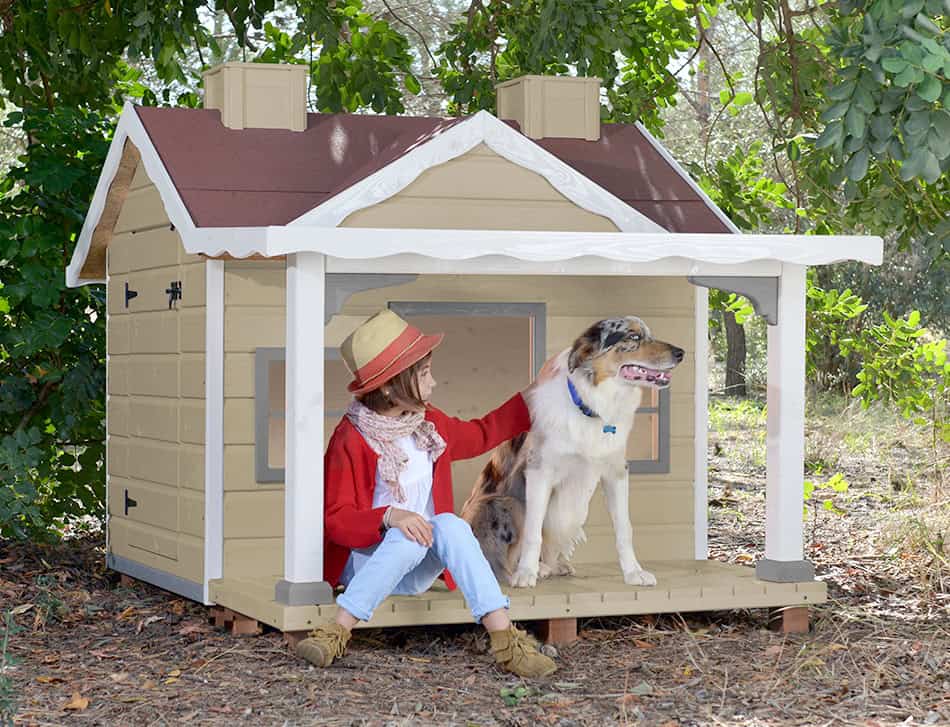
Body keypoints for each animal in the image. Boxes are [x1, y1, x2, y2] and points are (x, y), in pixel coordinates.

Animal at [462, 316, 684, 588]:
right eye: (633, 337)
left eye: (648, 334)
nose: (681, 353)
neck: (592, 406)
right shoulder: (539, 471)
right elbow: (533, 532)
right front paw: (525, 574)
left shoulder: (616, 472)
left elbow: (624, 529)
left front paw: (634, 573)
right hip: (503, 502)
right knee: (500, 561)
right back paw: (531, 570)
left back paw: (552, 566)